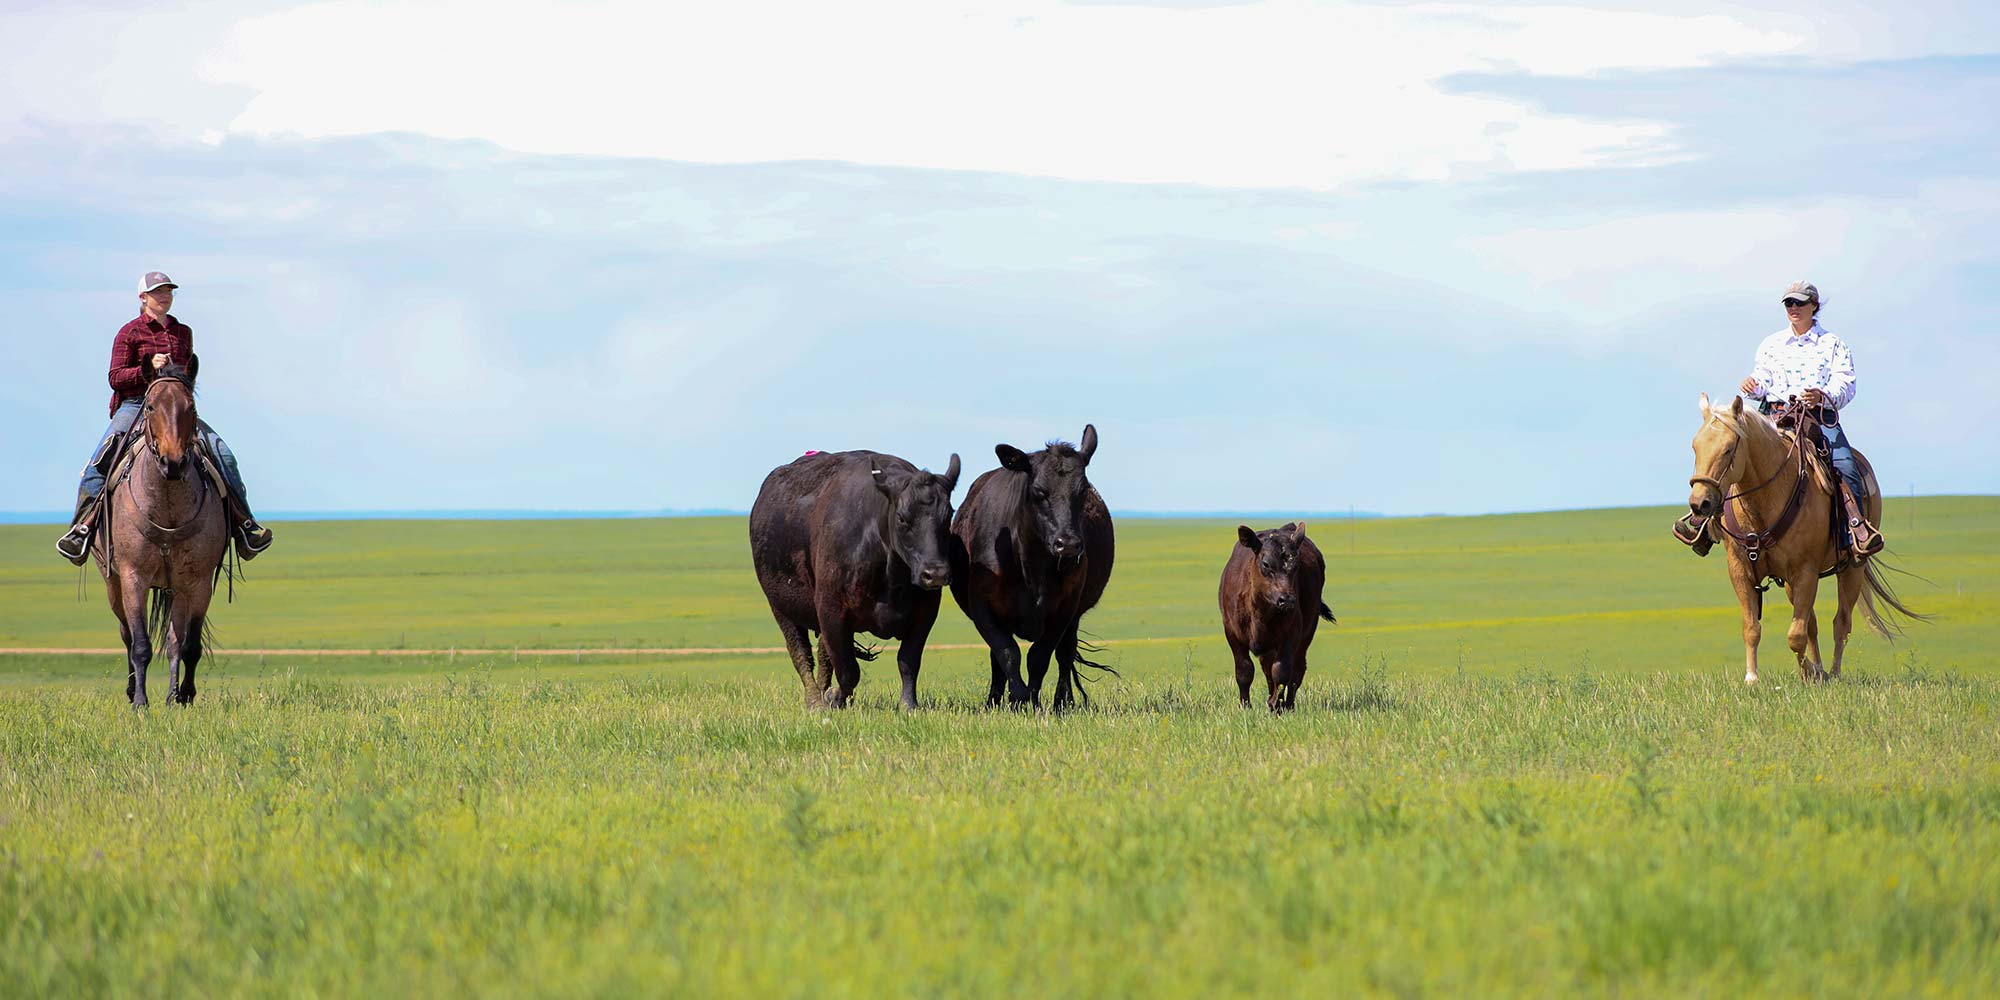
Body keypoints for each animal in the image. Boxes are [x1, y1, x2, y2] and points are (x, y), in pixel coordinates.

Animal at [94, 370, 229, 712]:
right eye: (151, 406)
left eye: (191, 407)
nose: (173, 462)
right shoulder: (134, 577)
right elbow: (140, 644)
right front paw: (141, 703)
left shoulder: (198, 581)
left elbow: (188, 645)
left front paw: (183, 697)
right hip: (113, 583)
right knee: (127, 635)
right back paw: (132, 692)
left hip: (175, 587)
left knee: (173, 641)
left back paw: (171, 695)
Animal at [752, 450, 964, 708]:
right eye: (902, 518)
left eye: (949, 515)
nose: (936, 573)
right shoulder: (831, 610)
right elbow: (848, 670)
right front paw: (834, 698)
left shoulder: (925, 613)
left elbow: (908, 661)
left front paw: (908, 705)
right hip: (781, 606)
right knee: (801, 654)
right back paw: (815, 701)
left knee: (823, 656)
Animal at [948, 424, 1112, 712]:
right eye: (1039, 491)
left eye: (1082, 491)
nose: (1068, 543)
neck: (1031, 570)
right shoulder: (982, 606)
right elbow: (1006, 653)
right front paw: (1016, 697)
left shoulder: (1064, 609)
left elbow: (1040, 656)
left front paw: (1032, 700)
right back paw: (994, 701)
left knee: (1065, 654)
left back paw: (1063, 702)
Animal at [1688, 394, 1920, 684]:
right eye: (1695, 447)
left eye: (1729, 449)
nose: (1700, 504)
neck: (1765, 501)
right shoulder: (1740, 570)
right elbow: (1753, 627)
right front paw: (1753, 678)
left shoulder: (1805, 571)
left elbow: (1795, 636)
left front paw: (1810, 671)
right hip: (1791, 582)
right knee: (1812, 622)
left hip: (1852, 568)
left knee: (1841, 622)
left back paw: (1833, 672)